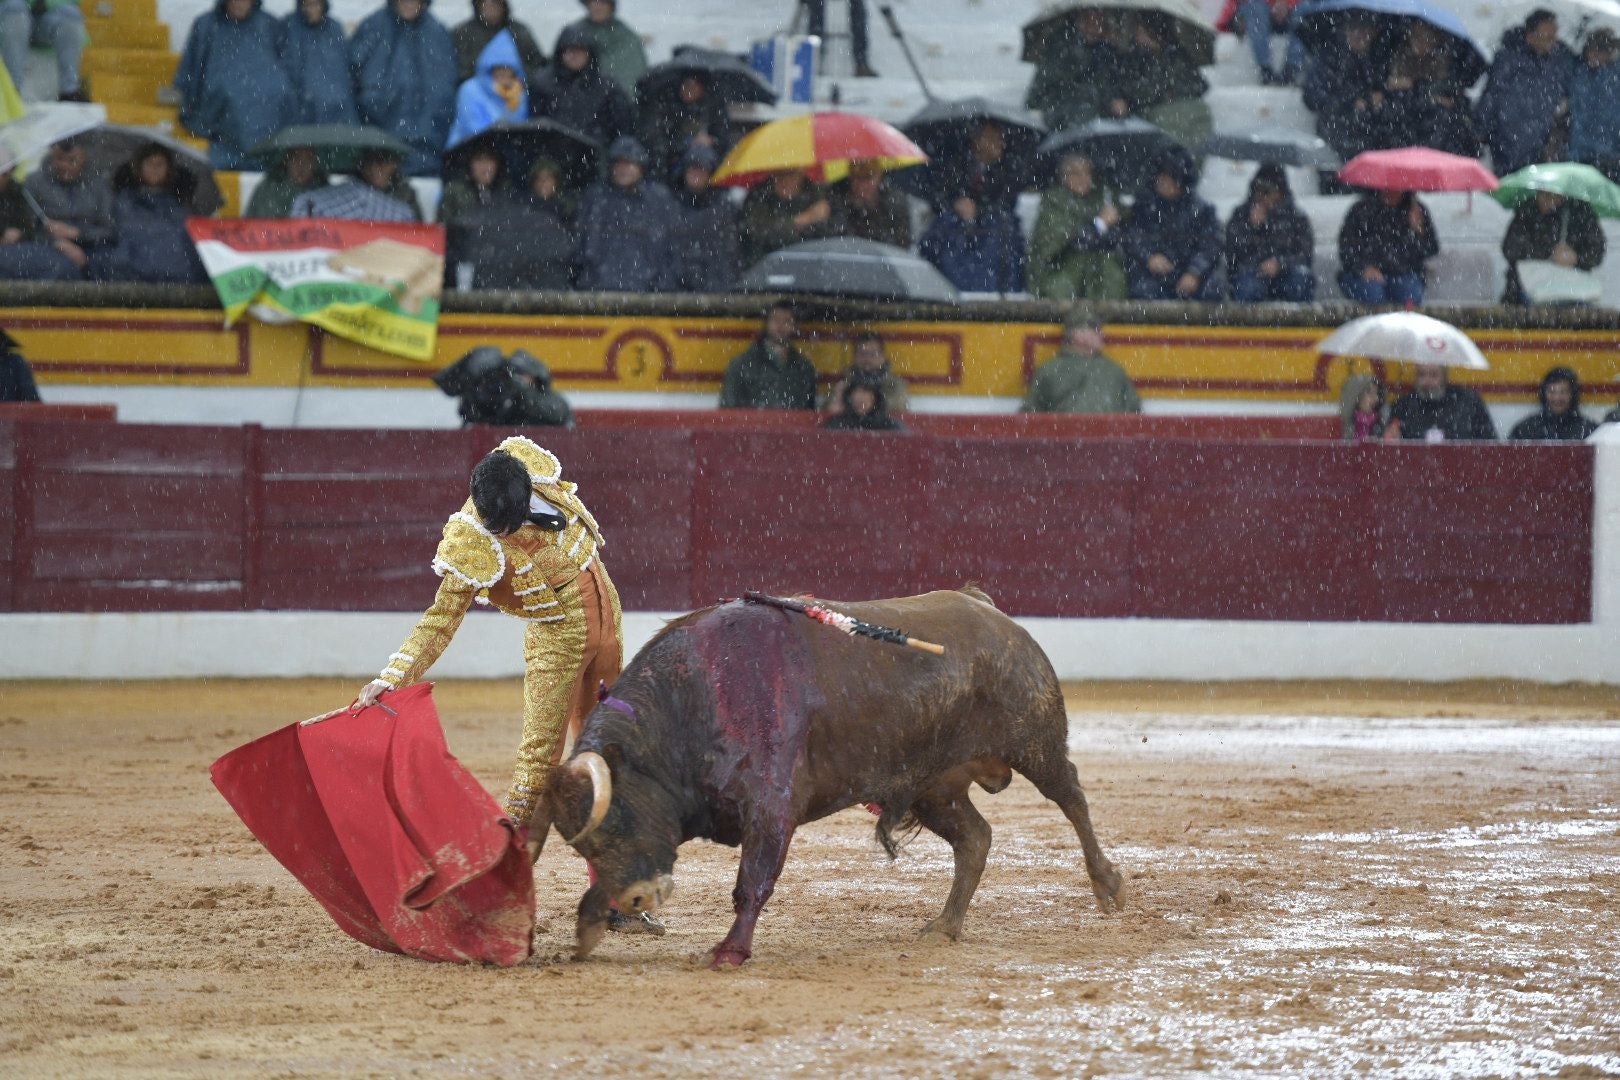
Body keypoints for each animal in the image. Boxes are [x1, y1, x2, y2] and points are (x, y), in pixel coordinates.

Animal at [537, 586, 1121, 965]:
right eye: (585, 845)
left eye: (621, 818)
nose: (636, 900)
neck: (691, 702)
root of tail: (988, 609)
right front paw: (587, 930)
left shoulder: (772, 808)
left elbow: (752, 883)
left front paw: (729, 952)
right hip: (933, 785)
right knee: (975, 838)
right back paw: (944, 926)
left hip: (1035, 740)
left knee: (1072, 798)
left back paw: (1107, 885)